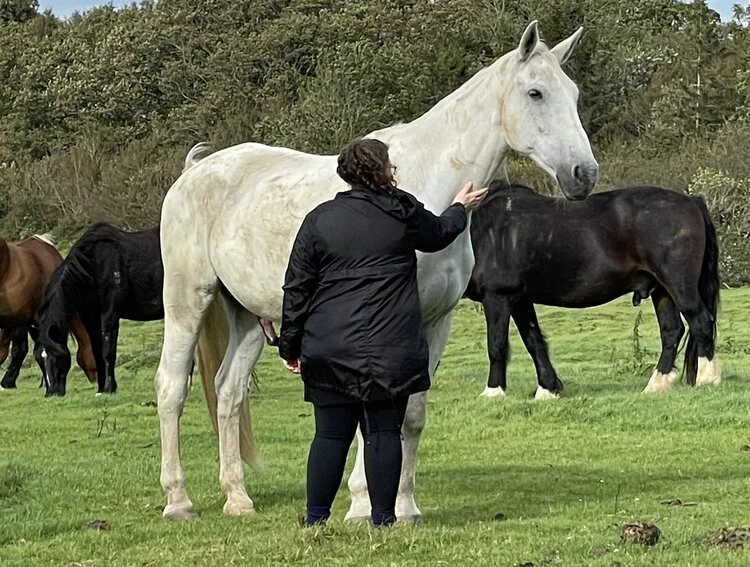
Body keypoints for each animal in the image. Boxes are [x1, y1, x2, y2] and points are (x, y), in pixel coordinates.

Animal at [155, 21, 598, 521]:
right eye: (535, 92)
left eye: (574, 94)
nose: (583, 174)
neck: (424, 185)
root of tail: (194, 172)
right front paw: (362, 503)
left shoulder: (435, 323)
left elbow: (412, 415)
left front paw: (404, 505)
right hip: (188, 300)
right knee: (171, 388)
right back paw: (178, 500)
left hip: (249, 315)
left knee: (228, 392)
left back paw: (237, 497)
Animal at [465, 182, 720, 399]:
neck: (483, 230)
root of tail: (691, 201)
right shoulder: (520, 301)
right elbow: (534, 341)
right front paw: (548, 389)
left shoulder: (498, 296)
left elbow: (496, 344)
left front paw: (493, 392)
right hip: (662, 291)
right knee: (672, 331)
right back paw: (657, 384)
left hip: (679, 286)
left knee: (701, 322)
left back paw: (707, 378)